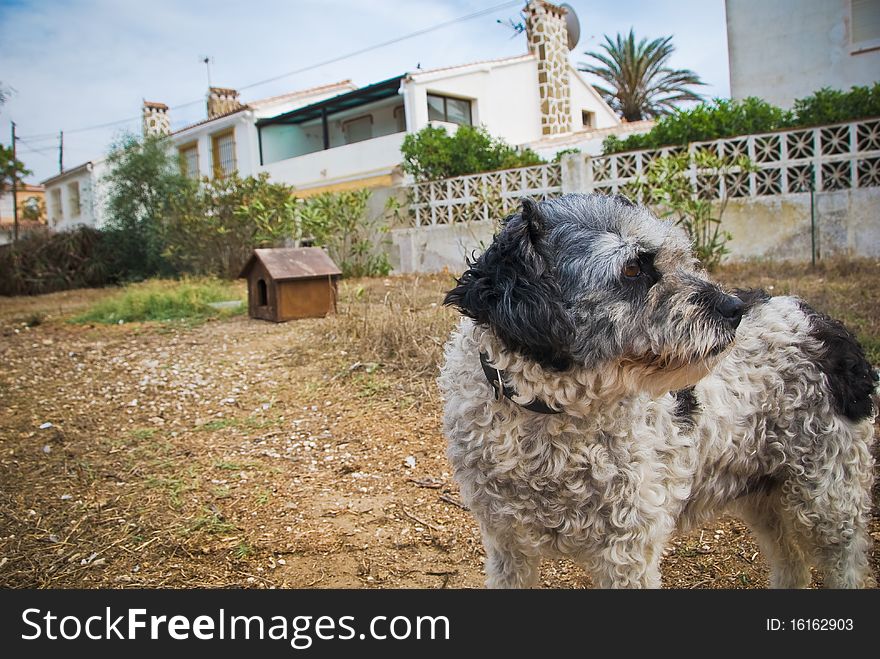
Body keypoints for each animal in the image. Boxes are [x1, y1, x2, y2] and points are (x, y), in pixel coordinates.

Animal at [436, 193, 876, 592]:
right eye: (633, 268)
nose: (733, 309)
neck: (548, 414)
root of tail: (825, 325)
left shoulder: (627, 551)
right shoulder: (507, 544)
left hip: (828, 499)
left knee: (846, 565)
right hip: (762, 492)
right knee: (792, 567)